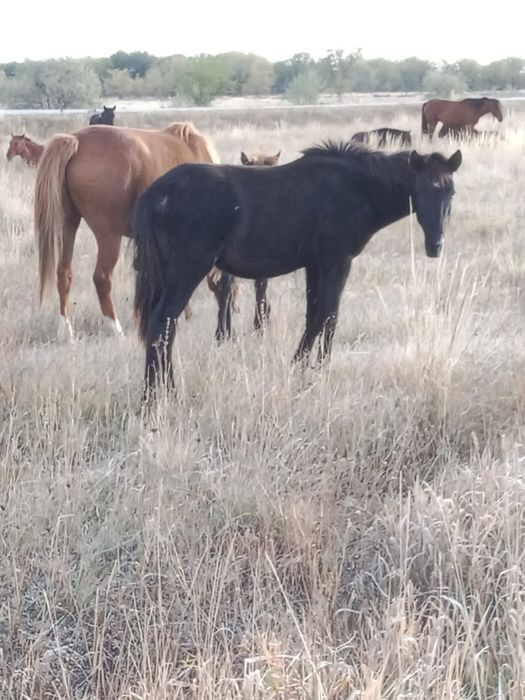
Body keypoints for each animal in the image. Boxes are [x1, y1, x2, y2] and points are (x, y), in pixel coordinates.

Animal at [34, 121, 219, 341]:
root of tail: (77, 141)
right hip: (108, 236)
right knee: (102, 278)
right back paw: (116, 329)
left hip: (68, 225)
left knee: (64, 273)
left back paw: (67, 331)